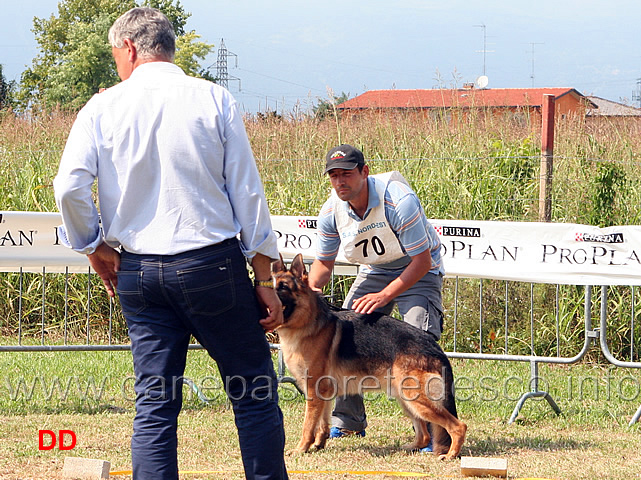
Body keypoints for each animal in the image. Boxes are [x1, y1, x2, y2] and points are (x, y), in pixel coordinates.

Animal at [272, 255, 464, 462]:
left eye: (283, 286)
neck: (309, 323)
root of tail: (434, 346)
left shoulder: (314, 391)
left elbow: (308, 426)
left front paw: (301, 449)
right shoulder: (323, 393)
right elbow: (322, 423)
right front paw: (318, 445)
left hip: (417, 399)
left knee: (458, 426)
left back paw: (451, 455)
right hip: (405, 399)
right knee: (425, 434)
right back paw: (409, 448)